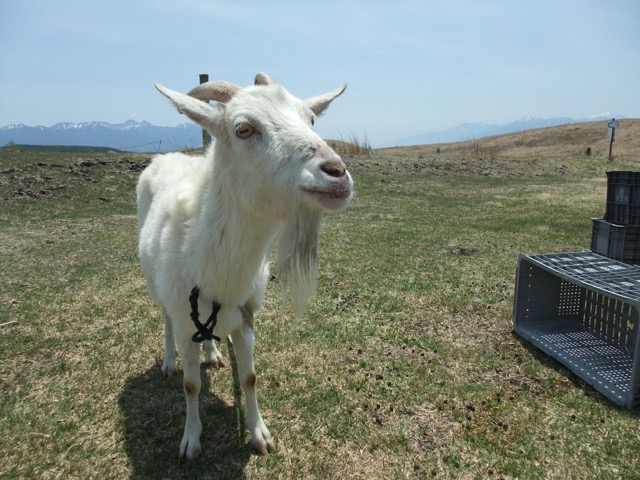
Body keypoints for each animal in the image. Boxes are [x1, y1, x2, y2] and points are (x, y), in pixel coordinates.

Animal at [137, 73, 352, 460]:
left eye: (311, 120)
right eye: (243, 129)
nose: (337, 172)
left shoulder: (246, 315)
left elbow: (249, 377)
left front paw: (259, 434)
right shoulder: (183, 316)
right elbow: (190, 384)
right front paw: (190, 440)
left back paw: (213, 353)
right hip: (158, 290)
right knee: (164, 320)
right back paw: (168, 362)